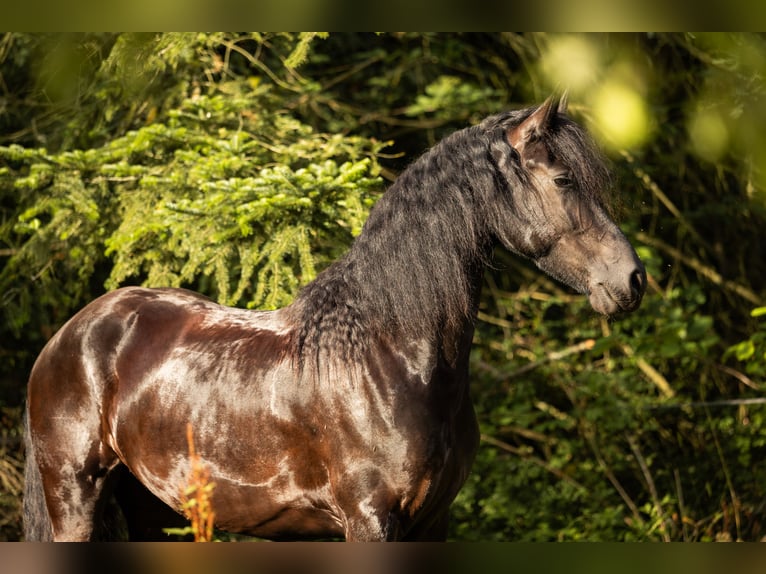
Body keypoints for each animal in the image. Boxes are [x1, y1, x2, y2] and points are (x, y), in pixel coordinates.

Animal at [23, 94, 646, 541]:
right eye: (563, 180)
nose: (633, 280)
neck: (390, 354)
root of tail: (68, 336)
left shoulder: (433, 523)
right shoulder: (370, 520)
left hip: (151, 510)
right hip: (75, 500)